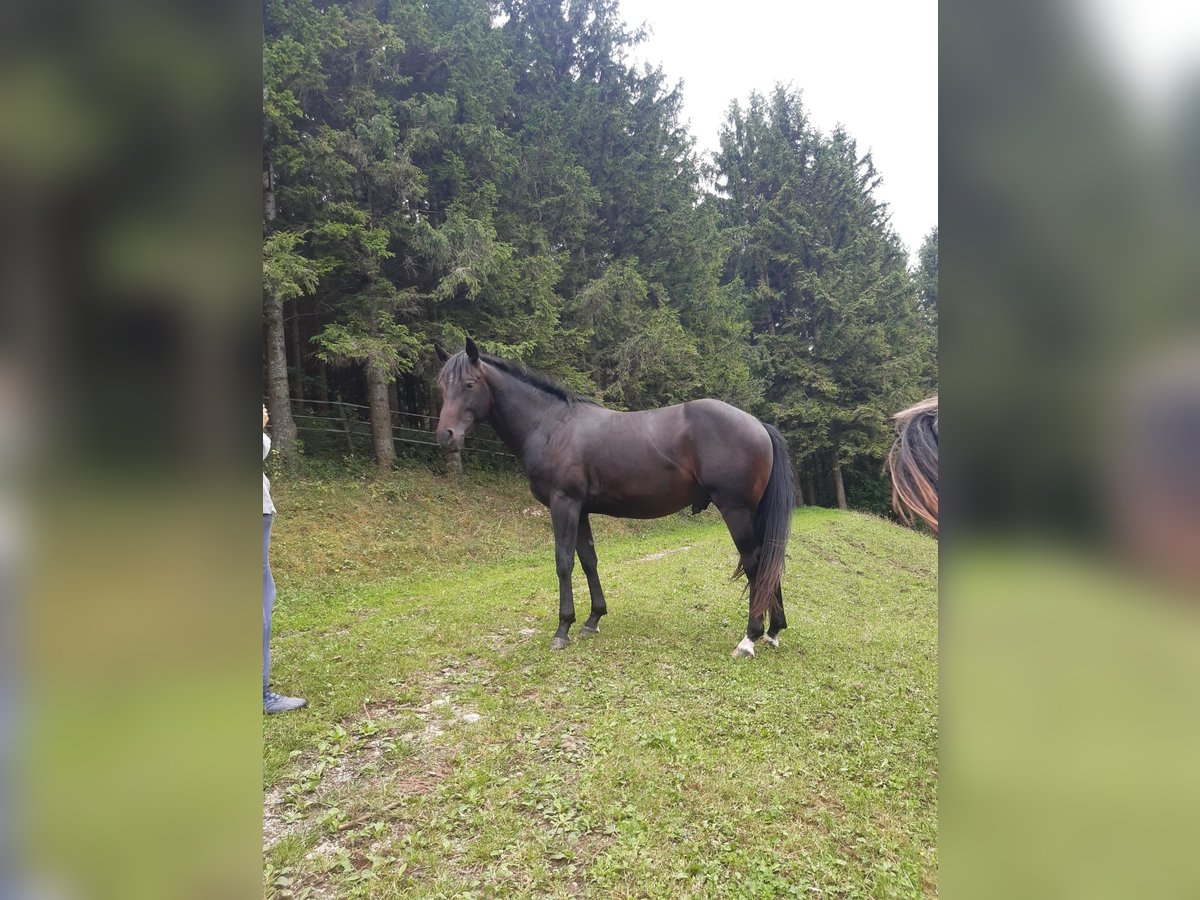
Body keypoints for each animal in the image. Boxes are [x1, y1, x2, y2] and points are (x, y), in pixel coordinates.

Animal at [434, 338, 795, 658]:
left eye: (469, 384)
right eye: (442, 386)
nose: (445, 436)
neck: (552, 425)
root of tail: (757, 423)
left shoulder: (564, 504)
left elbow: (564, 562)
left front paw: (562, 629)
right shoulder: (580, 509)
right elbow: (588, 560)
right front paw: (593, 619)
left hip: (736, 511)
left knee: (755, 563)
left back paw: (749, 638)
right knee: (768, 562)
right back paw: (773, 631)